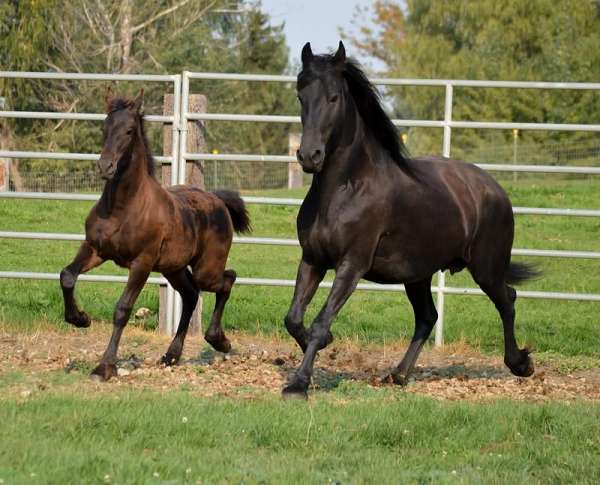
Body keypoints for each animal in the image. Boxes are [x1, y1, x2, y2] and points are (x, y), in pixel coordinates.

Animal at [59, 89, 250, 380]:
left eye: (129, 130)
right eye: (105, 126)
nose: (105, 166)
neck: (122, 208)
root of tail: (217, 200)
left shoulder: (142, 262)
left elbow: (122, 309)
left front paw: (104, 367)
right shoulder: (94, 249)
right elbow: (67, 276)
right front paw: (80, 319)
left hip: (205, 269)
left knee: (227, 279)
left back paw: (219, 341)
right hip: (174, 268)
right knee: (191, 295)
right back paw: (172, 355)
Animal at [282, 41, 540, 398]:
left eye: (333, 97)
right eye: (300, 96)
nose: (309, 156)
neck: (345, 190)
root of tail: (494, 188)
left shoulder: (352, 264)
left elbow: (321, 322)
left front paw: (298, 383)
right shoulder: (313, 259)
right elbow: (294, 318)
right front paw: (315, 349)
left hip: (485, 268)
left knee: (507, 301)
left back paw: (521, 364)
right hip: (417, 273)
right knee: (428, 317)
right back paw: (399, 374)